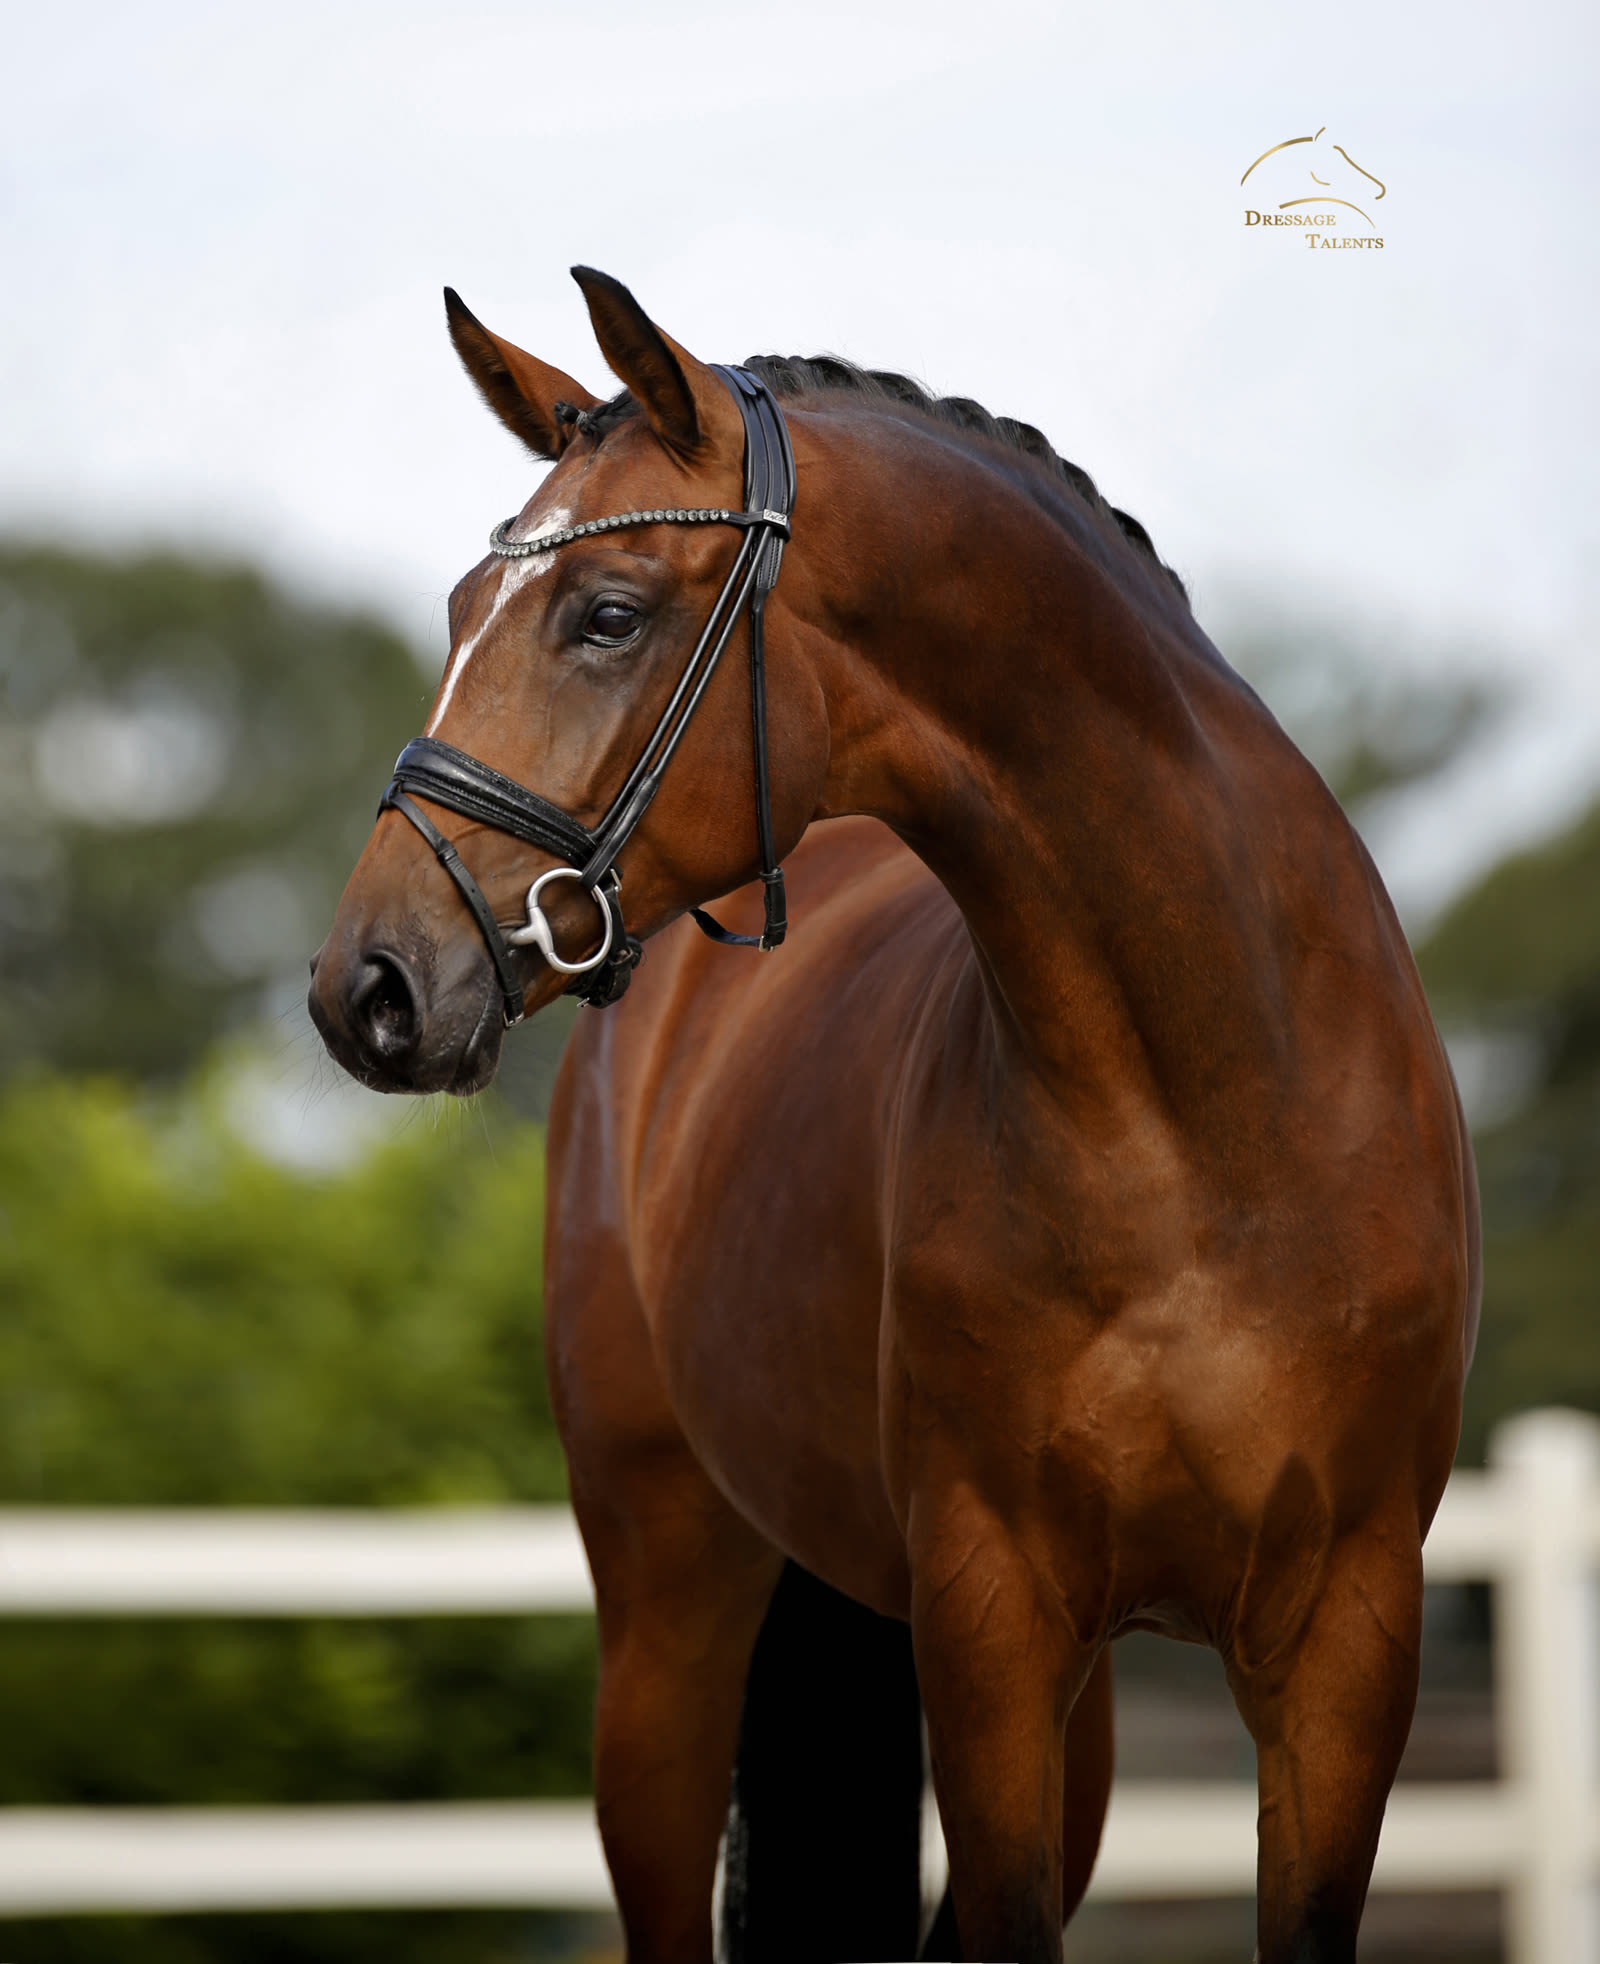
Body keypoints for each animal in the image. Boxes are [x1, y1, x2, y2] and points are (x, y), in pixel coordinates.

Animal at [309, 267, 1480, 1963]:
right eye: (466, 613)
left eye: (608, 613)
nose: (370, 988)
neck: (1206, 1124)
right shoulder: (989, 1621)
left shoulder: (1348, 1643)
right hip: (669, 1616)